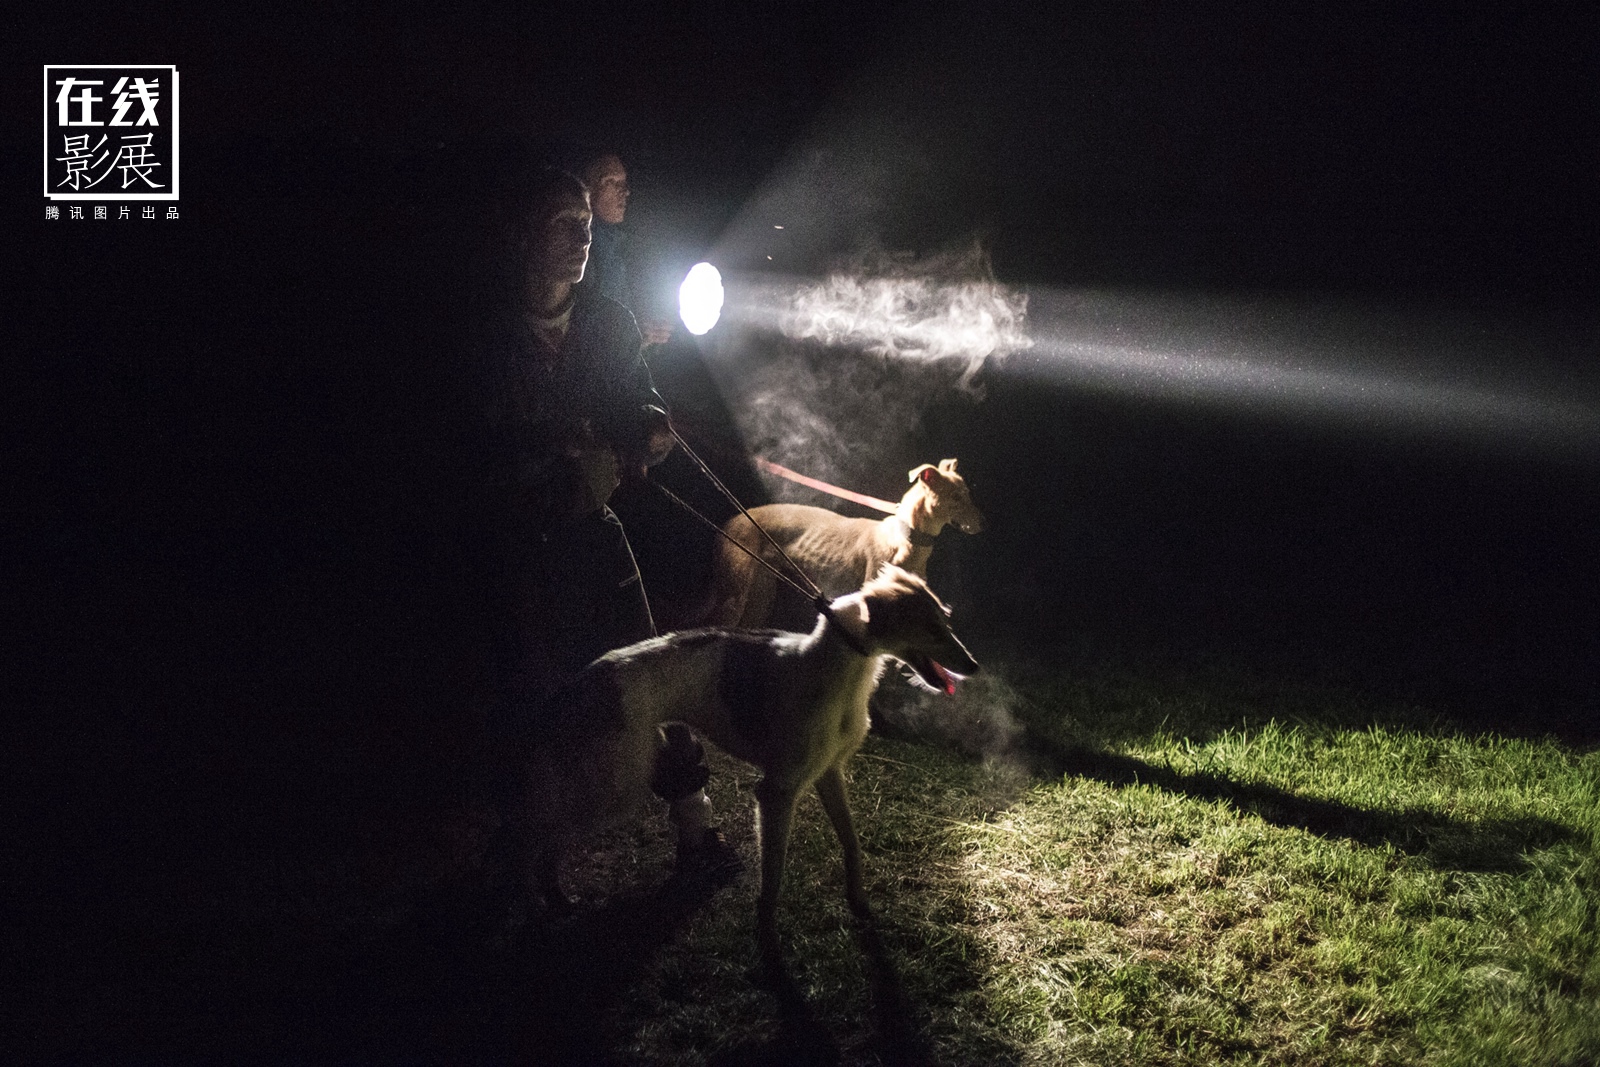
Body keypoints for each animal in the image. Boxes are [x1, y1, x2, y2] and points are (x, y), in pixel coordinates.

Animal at [499, 566, 972, 979]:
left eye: (946, 621)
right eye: (932, 628)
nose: (976, 667)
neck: (834, 667)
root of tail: (588, 677)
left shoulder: (828, 772)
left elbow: (852, 844)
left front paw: (859, 902)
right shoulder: (777, 792)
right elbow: (772, 877)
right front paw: (769, 943)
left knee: (544, 842)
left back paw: (557, 902)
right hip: (614, 786)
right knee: (531, 839)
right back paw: (536, 909)